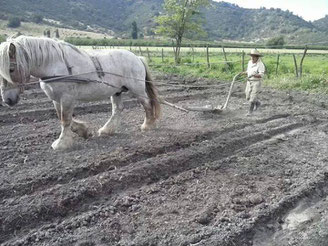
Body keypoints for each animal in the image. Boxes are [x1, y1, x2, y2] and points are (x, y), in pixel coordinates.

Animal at [0, 36, 161, 150]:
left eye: (11, 70)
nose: (7, 100)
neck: (54, 65)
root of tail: (136, 57)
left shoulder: (67, 98)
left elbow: (65, 119)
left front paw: (62, 143)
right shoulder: (56, 99)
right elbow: (62, 117)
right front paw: (84, 131)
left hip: (137, 89)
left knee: (147, 104)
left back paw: (148, 125)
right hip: (116, 91)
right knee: (117, 109)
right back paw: (107, 130)